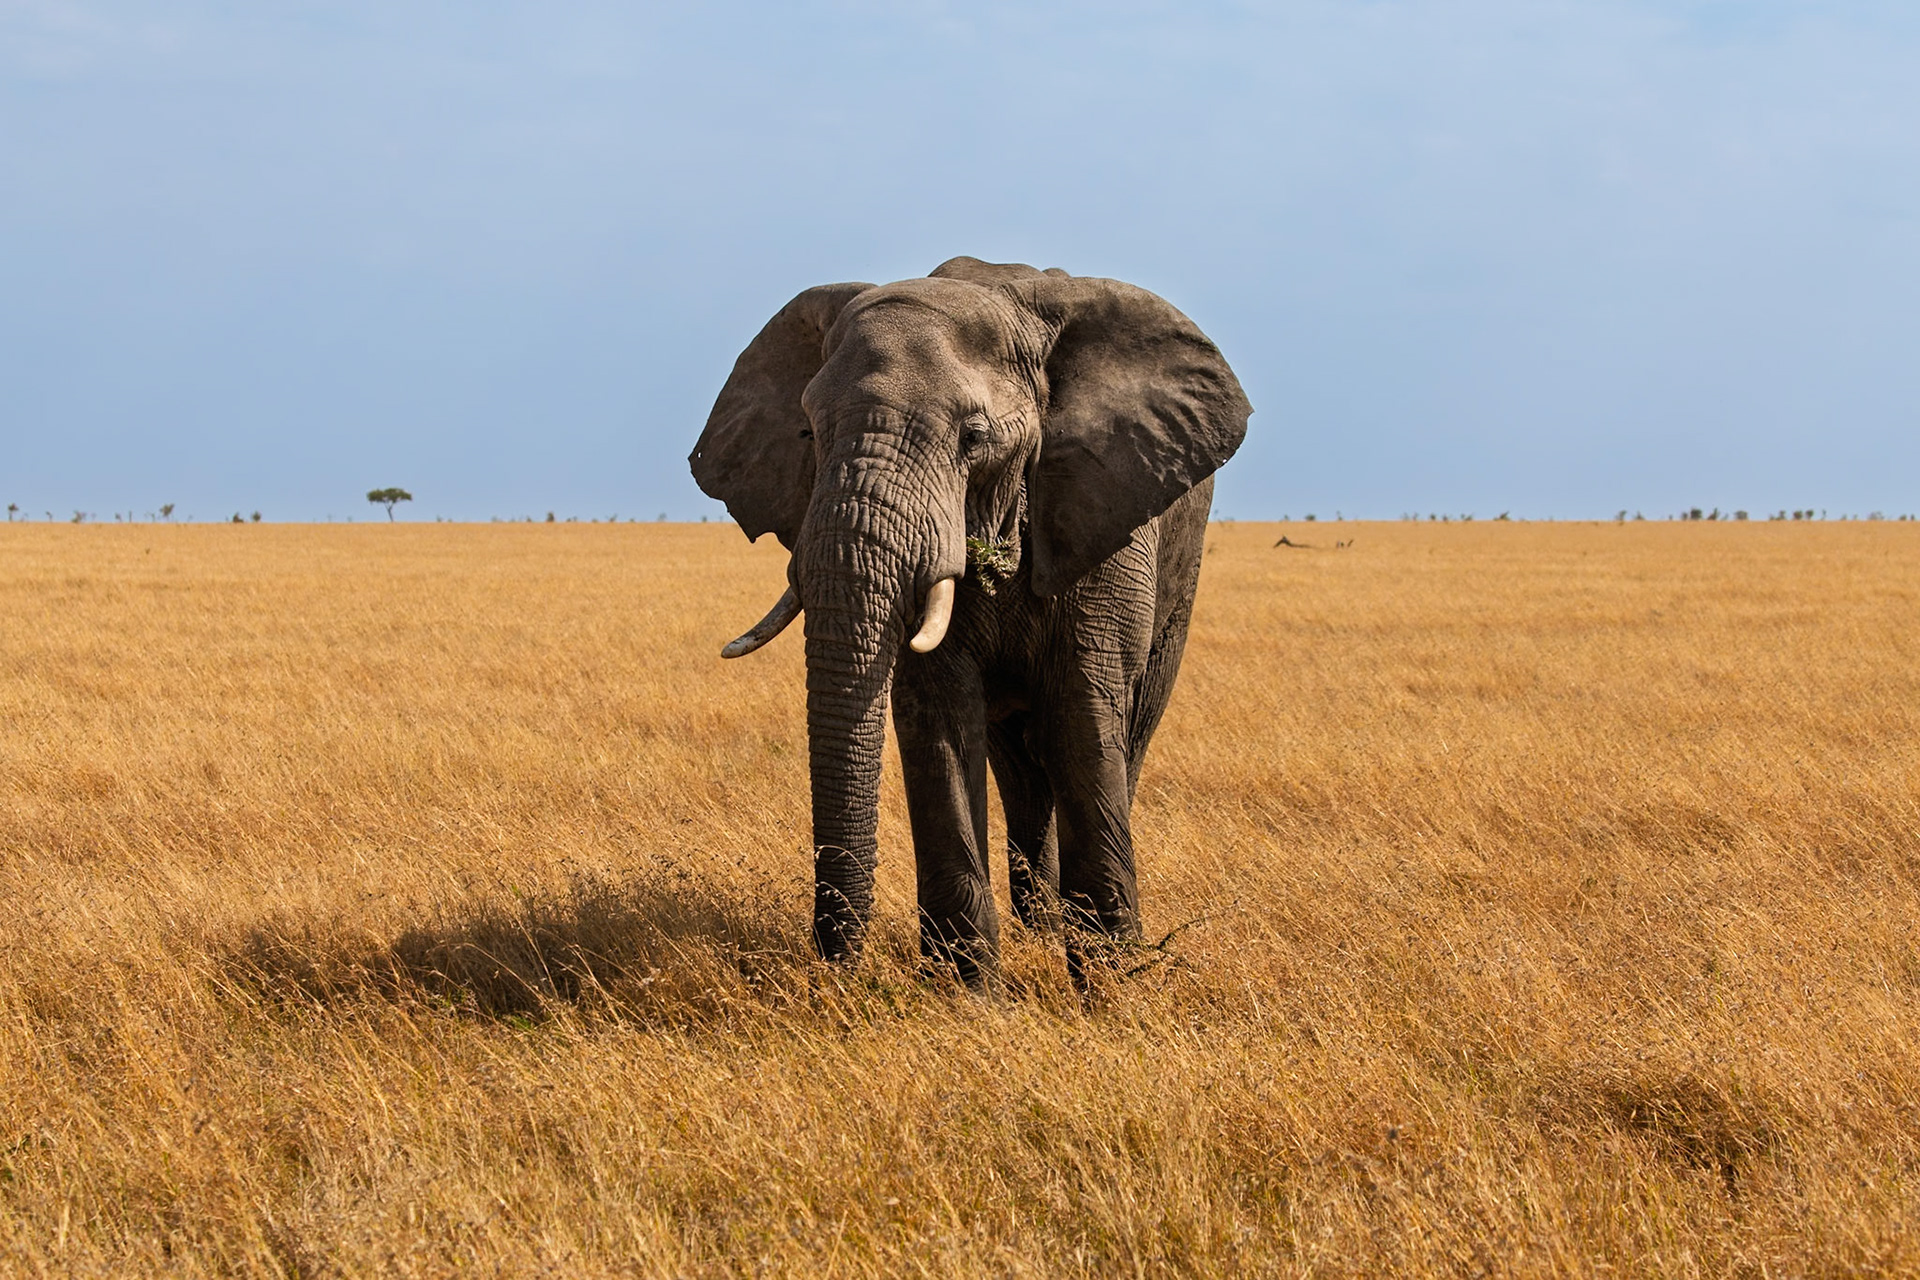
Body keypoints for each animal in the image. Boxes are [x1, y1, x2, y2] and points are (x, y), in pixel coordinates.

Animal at [689, 256, 1251, 992]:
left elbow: (1082, 714)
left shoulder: (1104, 512)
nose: (836, 973)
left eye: (974, 438)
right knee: (1021, 763)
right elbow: (939, 716)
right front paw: (970, 997)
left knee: (1119, 732)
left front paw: (1110, 990)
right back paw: (1041, 924)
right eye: (808, 432)